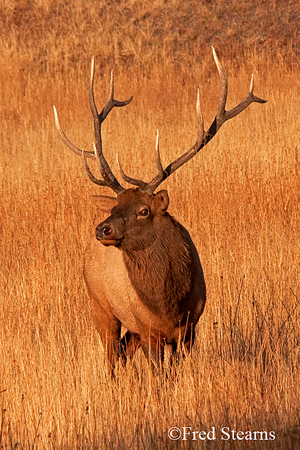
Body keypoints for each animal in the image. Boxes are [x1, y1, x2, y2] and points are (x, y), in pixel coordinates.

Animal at [52, 46, 266, 370]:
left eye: (143, 211)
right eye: (115, 207)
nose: (103, 228)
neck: (169, 305)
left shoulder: (190, 328)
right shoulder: (148, 329)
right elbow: (158, 374)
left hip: (132, 327)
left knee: (123, 352)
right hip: (99, 304)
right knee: (111, 356)